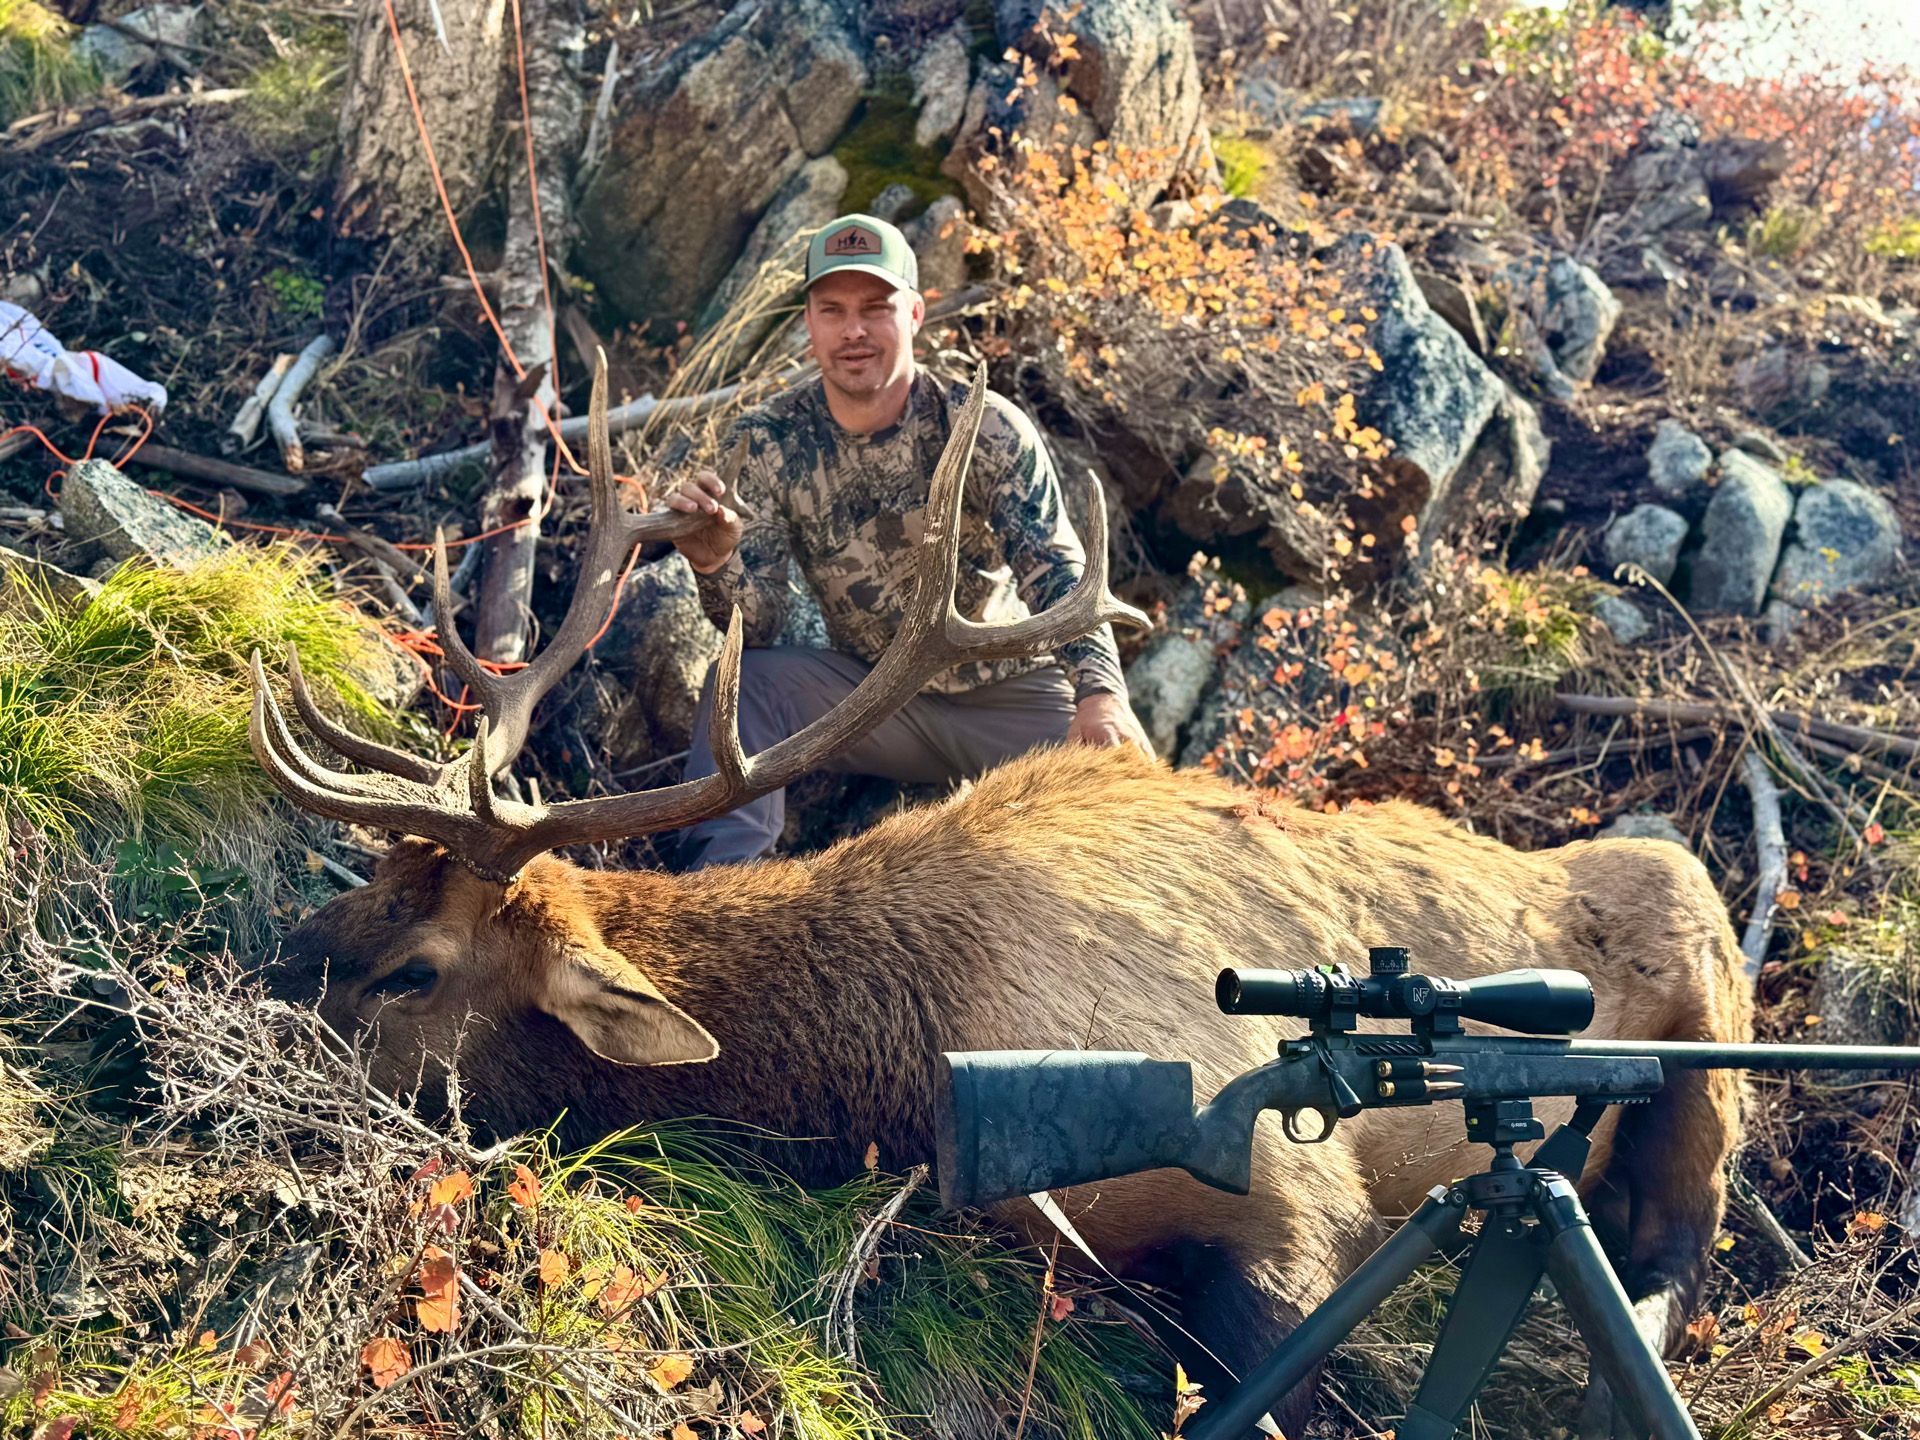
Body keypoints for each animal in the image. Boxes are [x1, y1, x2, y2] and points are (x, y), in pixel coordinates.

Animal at [252, 360, 1751, 1439]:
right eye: (360, 893)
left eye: (415, 968)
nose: (256, 987)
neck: (917, 1059)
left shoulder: (1291, 1198)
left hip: (1704, 1065)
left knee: (1671, 1252)